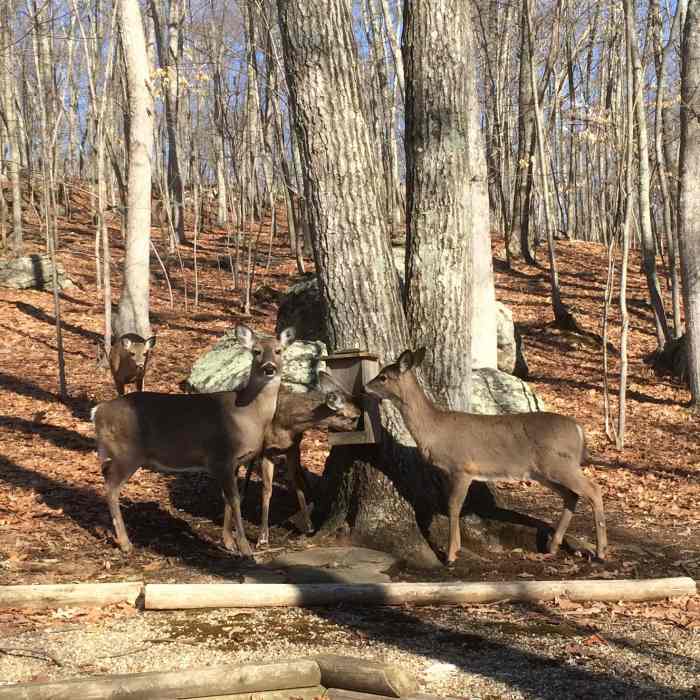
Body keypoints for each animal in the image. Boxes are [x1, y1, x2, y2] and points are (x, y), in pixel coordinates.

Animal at [91, 324, 296, 557]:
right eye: (256, 351)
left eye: (279, 351)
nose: (269, 368)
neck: (247, 415)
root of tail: (98, 412)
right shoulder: (221, 457)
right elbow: (235, 500)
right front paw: (244, 548)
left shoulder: (233, 462)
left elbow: (227, 499)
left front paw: (228, 542)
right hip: (128, 452)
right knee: (111, 488)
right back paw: (125, 543)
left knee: (106, 477)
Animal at [236, 372, 363, 547]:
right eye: (353, 418)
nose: (363, 424)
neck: (286, 425)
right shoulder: (267, 451)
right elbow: (267, 490)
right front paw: (262, 538)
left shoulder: (293, 448)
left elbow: (297, 483)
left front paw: (309, 526)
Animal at [364, 348, 607, 565]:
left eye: (383, 376)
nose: (365, 387)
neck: (434, 431)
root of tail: (579, 429)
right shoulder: (449, 472)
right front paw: (455, 549)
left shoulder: (462, 467)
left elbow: (453, 506)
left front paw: (451, 555)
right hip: (544, 471)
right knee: (572, 495)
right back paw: (553, 547)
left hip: (559, 464)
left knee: (593, 489)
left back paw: (601, 552)